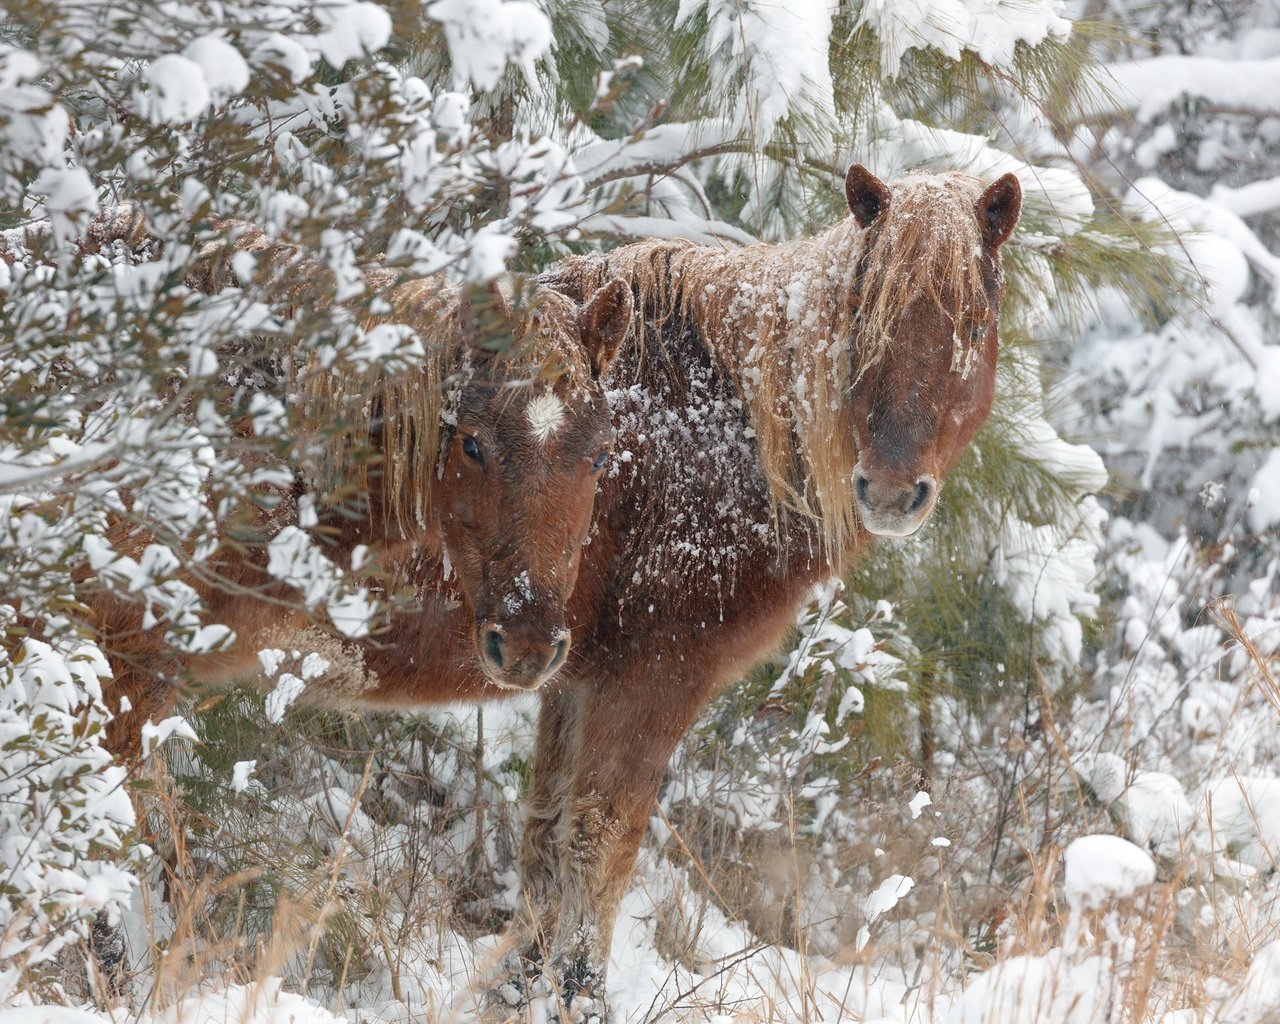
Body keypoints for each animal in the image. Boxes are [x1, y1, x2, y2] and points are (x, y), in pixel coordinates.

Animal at [496, 163, 1018, 1018]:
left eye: (972, 326)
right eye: (861, 318)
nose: (890, 490)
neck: (718, 433)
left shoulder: (570, 678)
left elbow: (544, 833)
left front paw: (519, 985)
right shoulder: (649, 678)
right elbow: (600, 839)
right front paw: (579, 992)